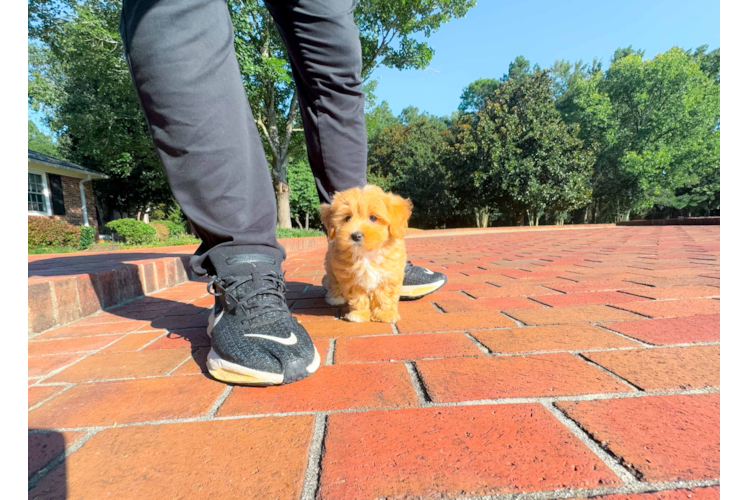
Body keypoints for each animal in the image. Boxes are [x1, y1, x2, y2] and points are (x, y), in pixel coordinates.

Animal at [322, 186, 414, 322]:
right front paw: (359, 314)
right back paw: (335, 298)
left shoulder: (388, 275)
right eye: (347, 218)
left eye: (373, 218)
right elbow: (358, 297)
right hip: (331, 264)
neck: (367, 253)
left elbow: (385, 297)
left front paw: (385, 314)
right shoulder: (352, 279)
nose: (356, 235)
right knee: (334, 281)